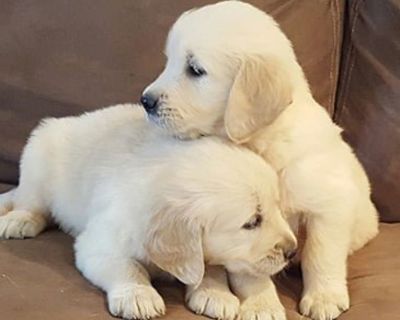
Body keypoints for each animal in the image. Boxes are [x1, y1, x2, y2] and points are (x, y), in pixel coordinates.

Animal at [0, 105, 296, 320]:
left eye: (278, 208)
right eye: (252, 222)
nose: (293, 251)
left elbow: (212, 268)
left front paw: (215, 292)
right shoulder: (100, 244)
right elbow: (128, 266)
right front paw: (138, 295)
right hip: (38, 158)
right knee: (30, 201)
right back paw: (20, 219)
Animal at [142, 1, 380, 318]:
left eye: (195, 70)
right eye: (169, 62)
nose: (145, 101)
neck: (265, 142)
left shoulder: (329, 205)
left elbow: (322, 254)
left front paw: (324, 297)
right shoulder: (246, 236)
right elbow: (250, 268)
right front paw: (261, 304)